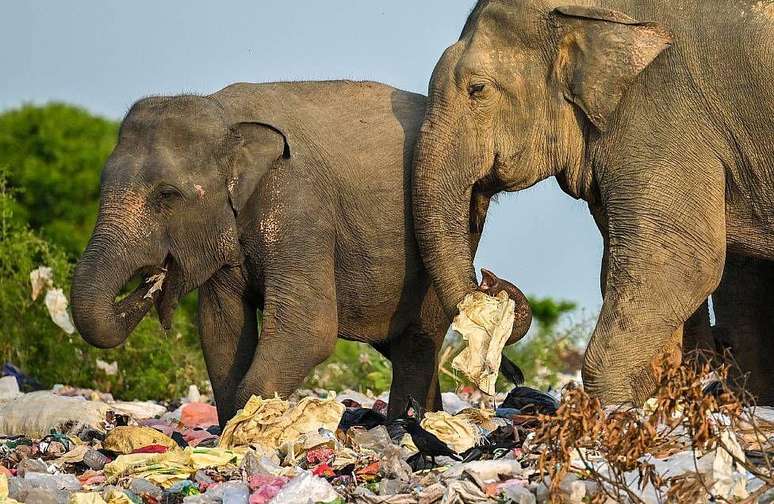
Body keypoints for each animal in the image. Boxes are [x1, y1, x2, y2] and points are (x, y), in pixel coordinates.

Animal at [71, 80, 532, 424]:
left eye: (166, 195)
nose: (152, 280)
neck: (225, 115)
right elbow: (221, 330)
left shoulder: (299, 206)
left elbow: (308, 328)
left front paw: (247, 428)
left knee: (417, 341)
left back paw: (406, 429)